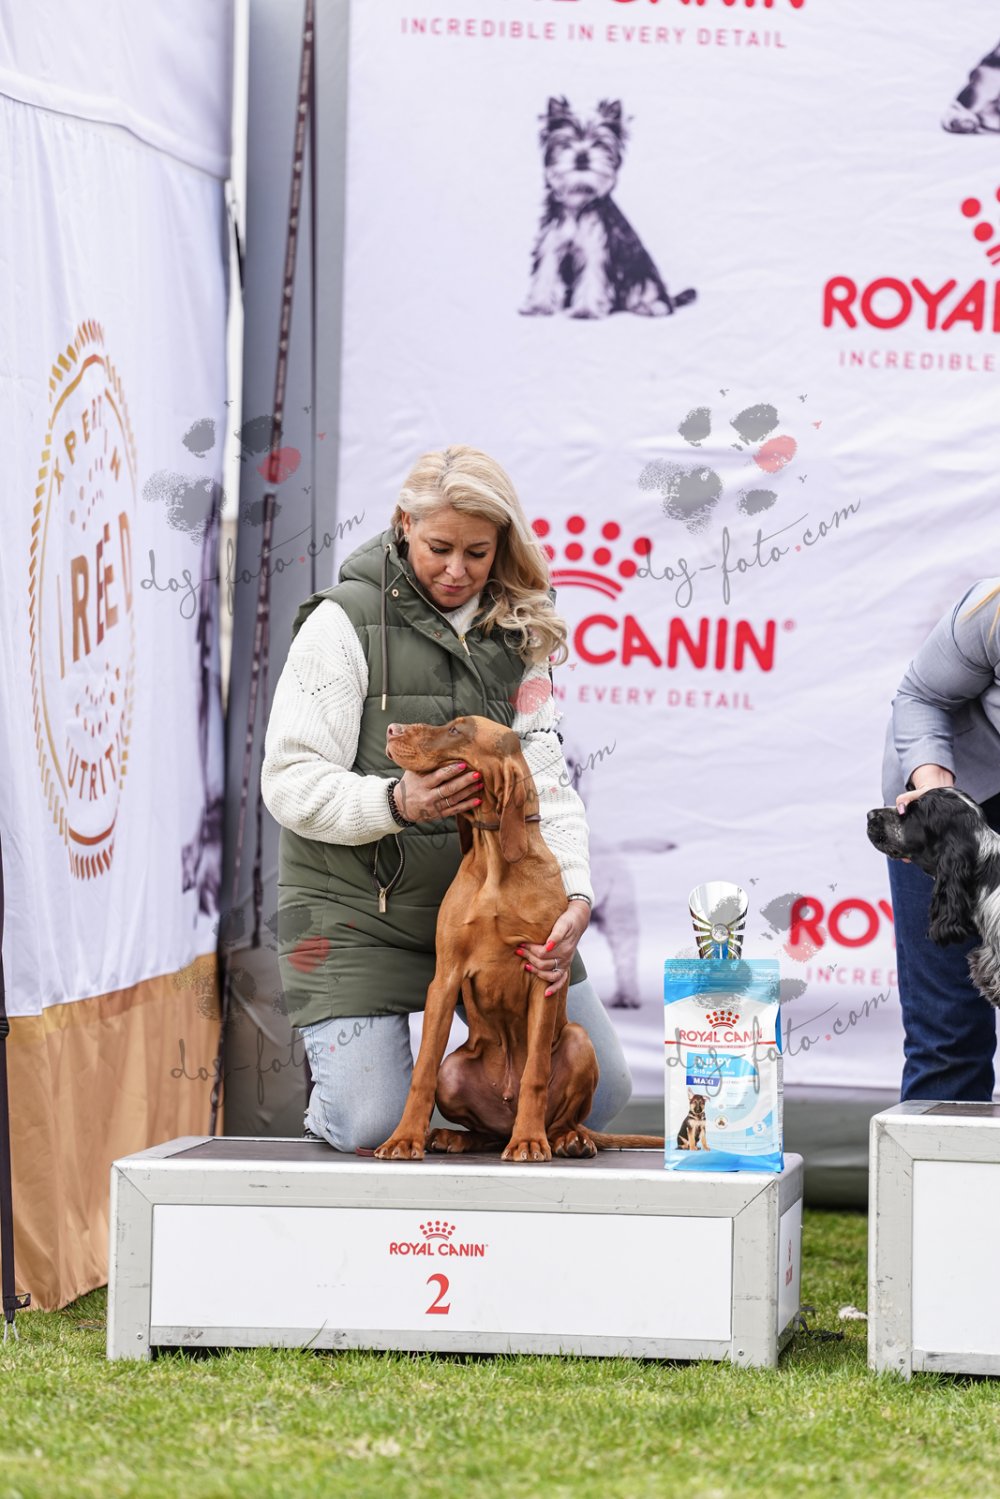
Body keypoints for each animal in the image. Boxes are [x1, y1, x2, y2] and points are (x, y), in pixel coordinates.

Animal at [373, 715, 664, 1162]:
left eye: (457, 730)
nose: (392, 729)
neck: (495, 859)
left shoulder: (545, 974)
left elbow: (535, 1075)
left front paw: (529, 1141)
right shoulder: (445, 980)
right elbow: (422, 1071)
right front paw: (404, 1137)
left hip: (579, 1040)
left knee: (557, 1116)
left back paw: (563, 1139)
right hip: (454, 1072)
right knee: (483, 1129)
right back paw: (453, 1137)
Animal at [520, 96, 696, 320]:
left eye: (598, 143)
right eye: (566, 143)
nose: (582, 156)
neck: (578, 197)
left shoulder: (597, 249)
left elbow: (593, 277)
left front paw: (586, 310)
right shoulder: (550, 245)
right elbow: (545, 274)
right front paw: (538, 305)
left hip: (642, 272)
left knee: (656, 295)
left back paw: (651, 306)